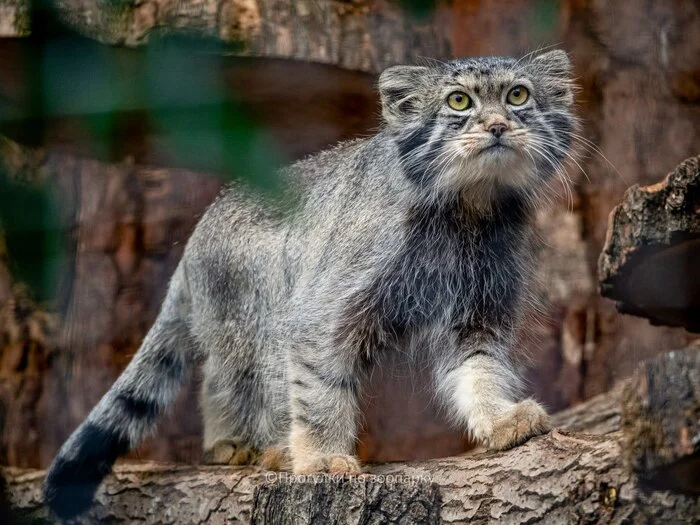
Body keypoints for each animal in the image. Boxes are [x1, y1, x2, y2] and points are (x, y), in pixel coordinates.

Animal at [46, 50, 576, 520]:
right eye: (459, 102)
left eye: (518, 94)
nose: (498, 126)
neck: (468, 210)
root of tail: (196, 238)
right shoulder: (321, 314)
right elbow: (320, 389)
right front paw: (320, 458)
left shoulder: (476, 315)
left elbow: (480, 373)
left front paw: (501, 419)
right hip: (255, 316)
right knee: (232, 379)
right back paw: (253, 445)